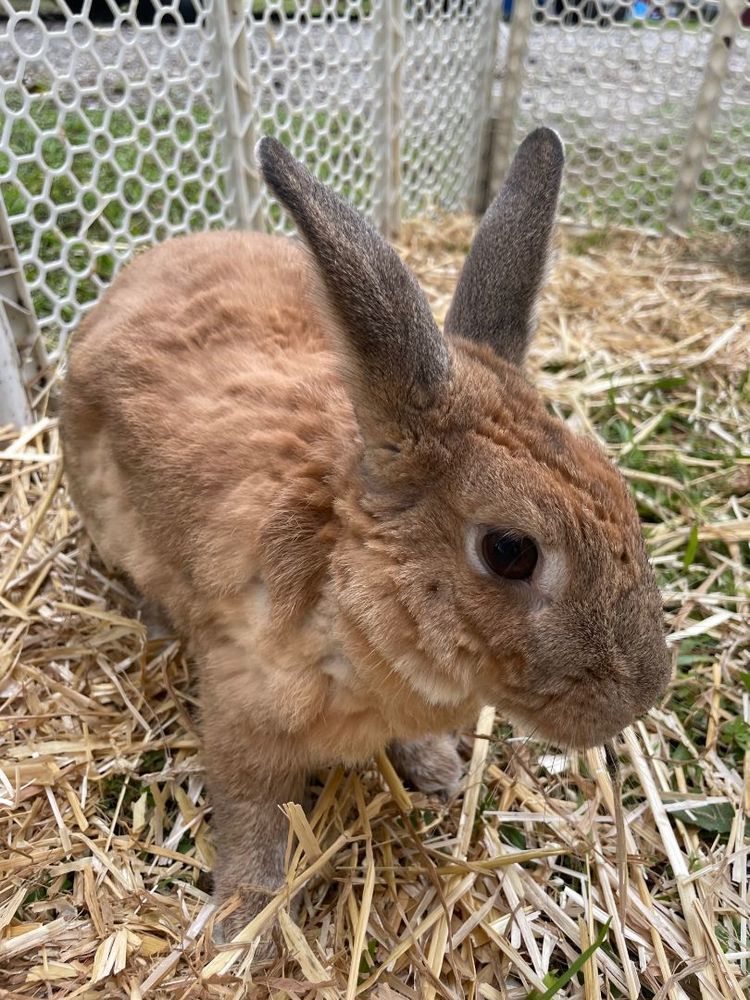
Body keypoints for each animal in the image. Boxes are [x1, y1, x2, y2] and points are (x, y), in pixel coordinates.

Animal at [61, 127, 671, 952]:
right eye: (510, 551)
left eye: (615, 486)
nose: (647, 693)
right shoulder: (240, 715)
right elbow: (252, 821)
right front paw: (243, 924)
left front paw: (441, 772)